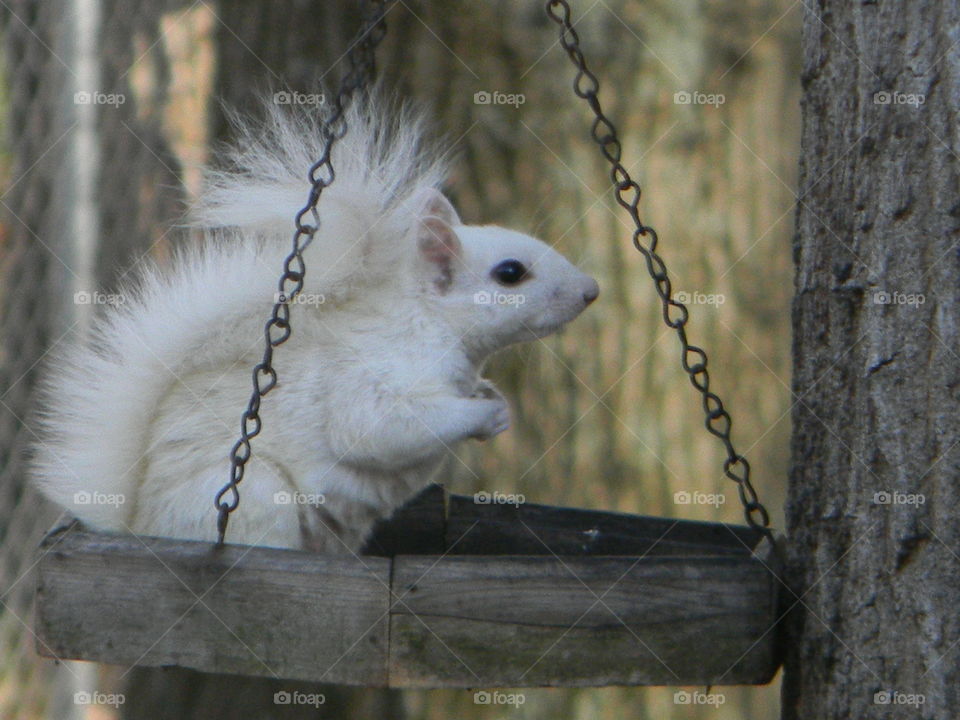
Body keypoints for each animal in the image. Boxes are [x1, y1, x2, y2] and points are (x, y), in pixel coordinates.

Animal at [31, 95, 599, 553]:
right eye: (510, 273)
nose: (591, 290)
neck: (428, 324)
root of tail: (139, 527)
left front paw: (491, 396)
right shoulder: (371, 379)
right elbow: (380, 428)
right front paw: (488, 415)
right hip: (257, 498)